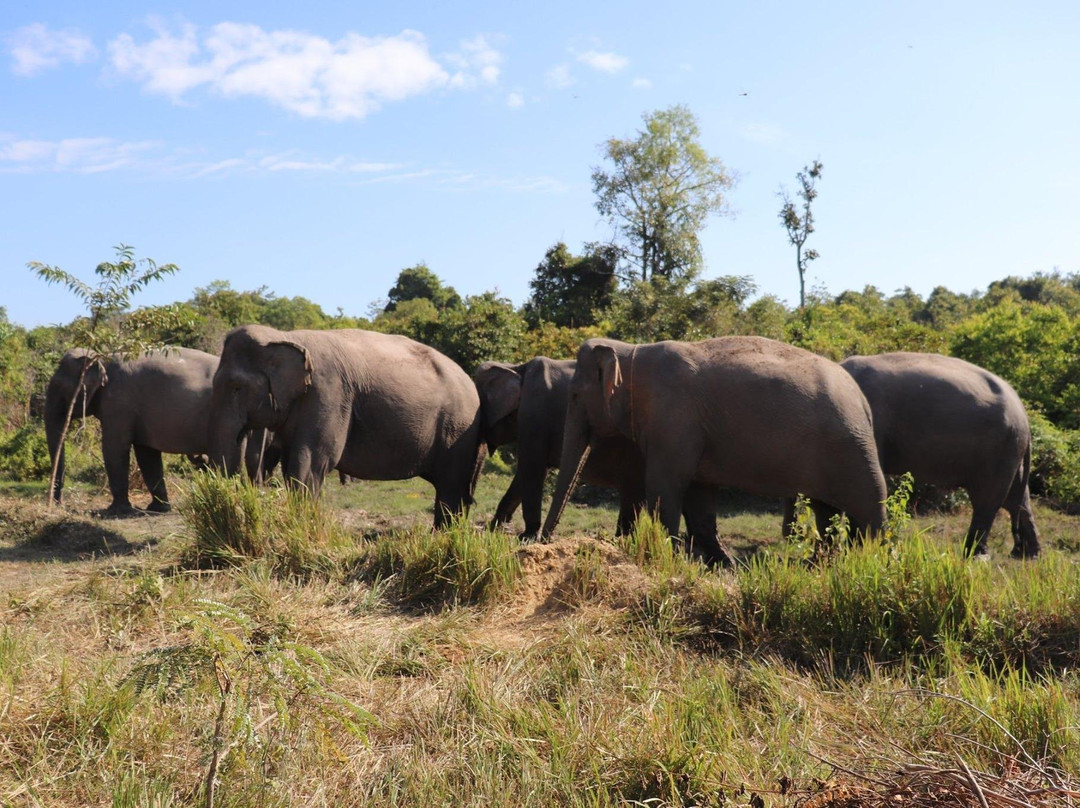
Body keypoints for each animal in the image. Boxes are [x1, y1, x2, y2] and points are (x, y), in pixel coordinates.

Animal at [46, 345, 270, 512]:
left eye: (60, 387)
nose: (57, 505)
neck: (104, 357)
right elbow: (146, 453)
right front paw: (157, 509)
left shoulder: (118, 402)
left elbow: (114, 448)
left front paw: (116, 512)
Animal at [207, 324, 486, 527]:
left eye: (236, 388)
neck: (284, 336)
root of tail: (471, 383)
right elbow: (291, 463)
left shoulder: (328, 394)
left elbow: (311, 461)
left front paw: (303, 527)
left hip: (458, 429)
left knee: (450, 488)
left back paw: (444, 537)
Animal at [473, 356, 725, 566]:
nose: (546, 541)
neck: (515, 367)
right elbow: (528, 474)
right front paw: (495, 530)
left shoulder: (535, 413)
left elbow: (532, 469)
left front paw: (524, 537)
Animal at [540, 330, 885, 546]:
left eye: (574, 395)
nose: (540, 543)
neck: (631, 351)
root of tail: (863, 401)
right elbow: (698, 493)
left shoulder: (674, 419)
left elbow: (665, 486)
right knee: (826, 512)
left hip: (850, 446)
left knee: (869, 506)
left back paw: (871, 557)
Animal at [816, 349, 1036, 557]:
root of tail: (1023, 415)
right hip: (1010, 449)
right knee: (1016, 499)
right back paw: (1027, 554)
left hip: (998, 451)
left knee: (987, 500)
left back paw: (974, 555)